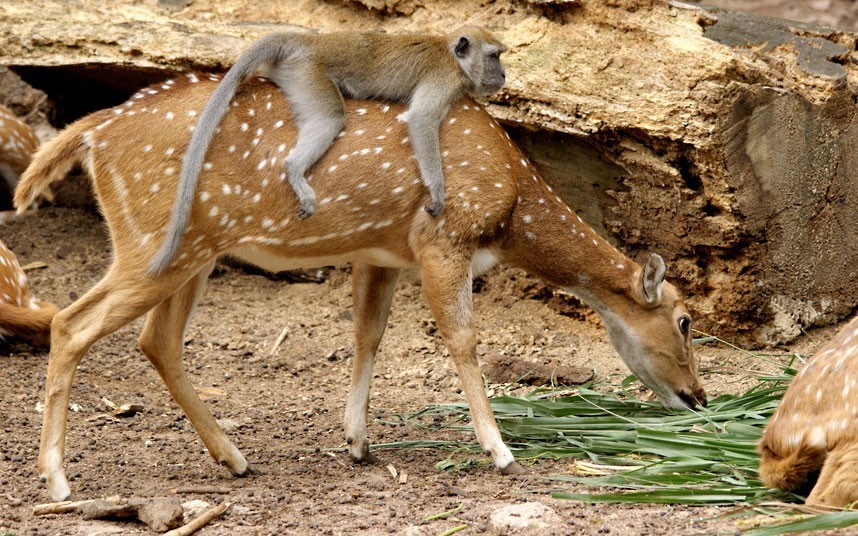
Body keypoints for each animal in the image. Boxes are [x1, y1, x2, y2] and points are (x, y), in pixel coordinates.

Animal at [15, 72, 708, 502]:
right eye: (685, 322)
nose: (699, 398)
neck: (513, 204)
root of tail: (93, 132)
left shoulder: (383, 253)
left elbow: (367, 335)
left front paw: (358, 444)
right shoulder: (442, 236)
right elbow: (462, 340)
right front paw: (500, 450)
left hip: (192, 252)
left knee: (156, 340)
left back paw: (235, 458)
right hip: (156, 240)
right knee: (70, 322)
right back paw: (58, 481)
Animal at [150, 26, 504, 274]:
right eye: (494, 56)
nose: (503, 74)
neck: (453, 56)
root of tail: (309, 42)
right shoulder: (444, 80)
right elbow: (421, 120)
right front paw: (437, 192)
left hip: (293, 75)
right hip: (309, 74)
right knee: (331, 117)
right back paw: (294, 170)